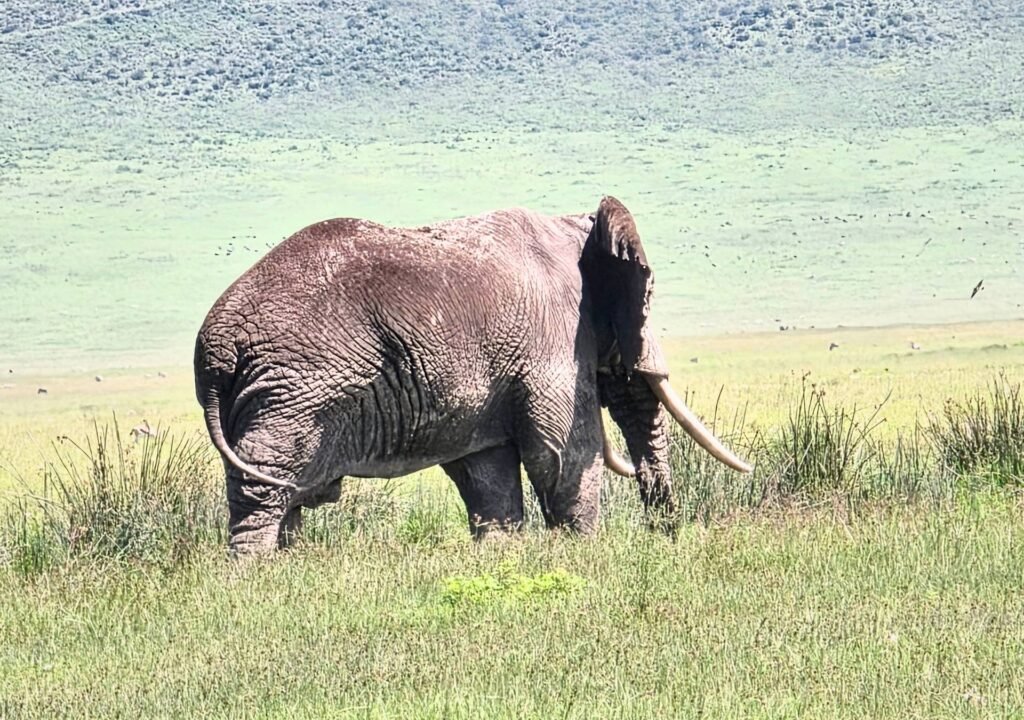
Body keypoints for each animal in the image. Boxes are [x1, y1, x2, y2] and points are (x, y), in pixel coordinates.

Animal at [194, 196, 750, 554]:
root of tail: (215, 349)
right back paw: (254, 578)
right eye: (646, 297)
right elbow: (563, 452)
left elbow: (487, 473)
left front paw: (501, 557)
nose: (667, 543)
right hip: (291, 395)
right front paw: (587, 556)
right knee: (265, 485)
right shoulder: (555, 338)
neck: (574, 225)